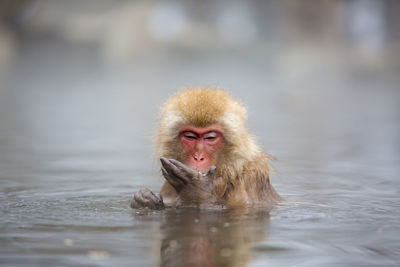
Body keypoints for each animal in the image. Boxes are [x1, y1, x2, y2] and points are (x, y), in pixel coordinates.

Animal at [130, 88, 280, 209]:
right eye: (190, 136)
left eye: (210, 137)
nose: (198, 157)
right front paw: (144, 199)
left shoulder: (251, 178)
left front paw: (195, 188)